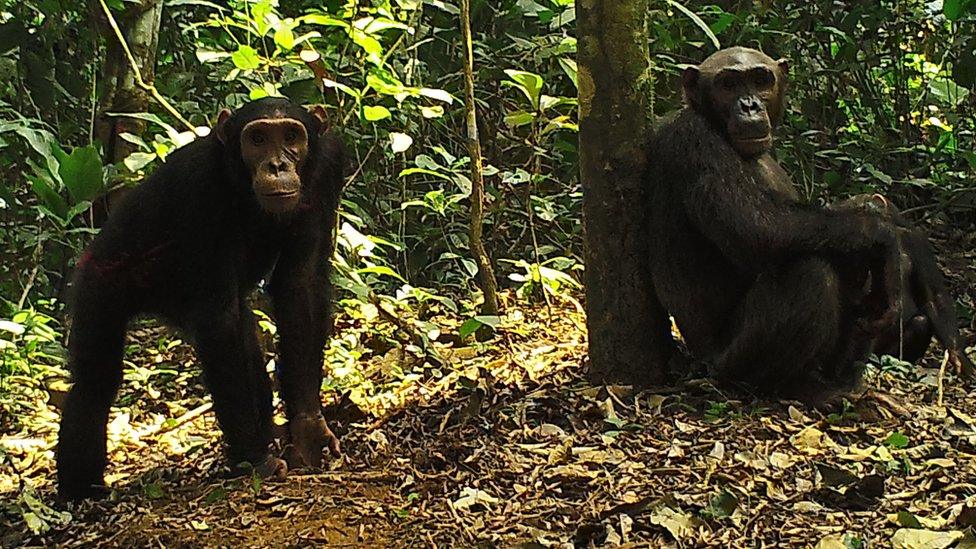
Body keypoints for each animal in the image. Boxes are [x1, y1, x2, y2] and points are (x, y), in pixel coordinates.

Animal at [57, 96, 346, 498]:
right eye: (257, 139)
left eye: (291, 136)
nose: (277, 165)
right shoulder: (198, 188)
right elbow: (218, 320)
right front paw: (254, 461)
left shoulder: (326, 172)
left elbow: (298, 286)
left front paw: (308, 431)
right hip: (99, 277)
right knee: (94, 381)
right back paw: (81, 492)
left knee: (247, 344)